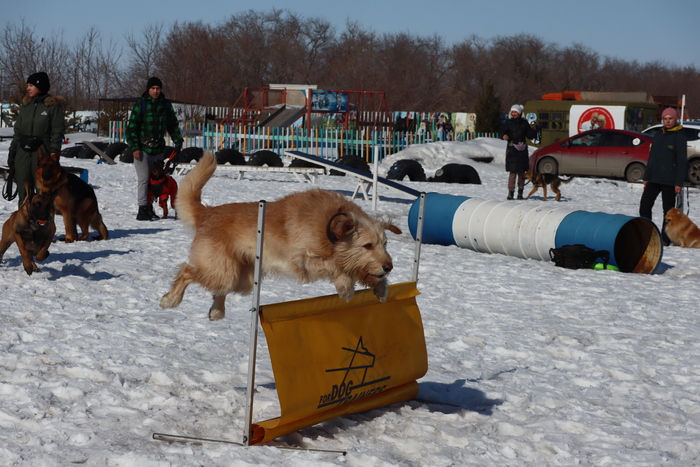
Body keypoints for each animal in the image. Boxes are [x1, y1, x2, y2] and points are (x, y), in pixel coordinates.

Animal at [160, 151, 402, 321]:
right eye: (367, 245)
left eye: (385, 244)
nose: (389, 266)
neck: (328, 227)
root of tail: (208, 212)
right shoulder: (302, 261)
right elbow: (336, 265)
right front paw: (345, 286)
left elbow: (354, 269)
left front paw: (381, 287)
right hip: (222, 270)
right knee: (187, 271)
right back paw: (170, 299)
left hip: (241, 278)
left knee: (218, 290)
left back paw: (216, 311)